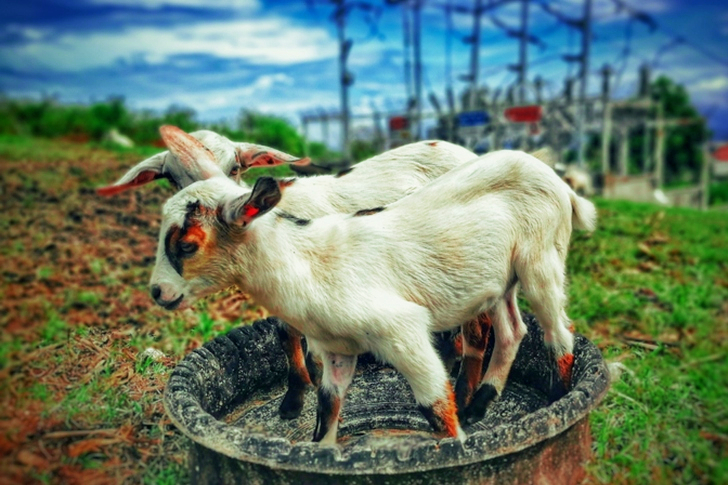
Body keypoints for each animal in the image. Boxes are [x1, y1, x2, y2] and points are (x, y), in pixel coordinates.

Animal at [149, 127, 597, 444]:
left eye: (187, 244)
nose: (158, 293)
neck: (305, 263)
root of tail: (555, 180)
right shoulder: (337, 351)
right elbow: (327, 410)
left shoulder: (403, 333)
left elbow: (437, 409)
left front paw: (457, 448)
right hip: (499, 281)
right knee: (512, 330)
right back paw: (482, 404)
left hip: (541, 260)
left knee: (558, 333)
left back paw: (557, 404)